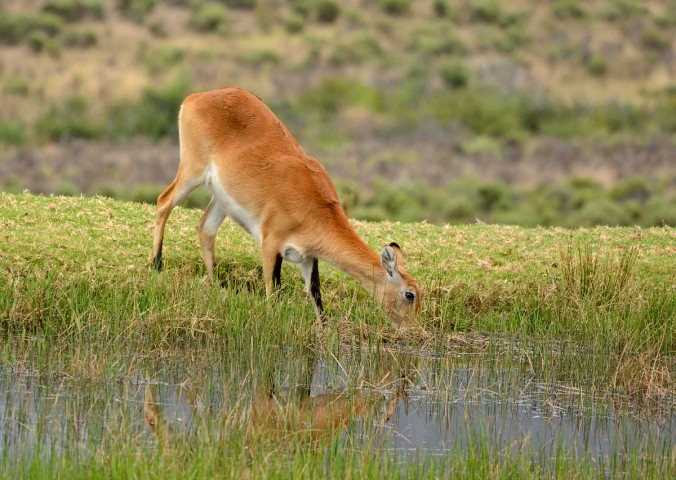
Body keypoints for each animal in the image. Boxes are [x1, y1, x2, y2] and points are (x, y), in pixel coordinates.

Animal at [151, 87, 420, 324]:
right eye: (410, 294)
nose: (410, 327)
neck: (316, 209)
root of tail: (195, 97)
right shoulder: (271, 244)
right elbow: (273, 292)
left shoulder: (308, 258)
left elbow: (316, 297)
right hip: (192, 171)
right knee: (164, 201)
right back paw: (156, 265)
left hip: (221, 198)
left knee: (205, 228)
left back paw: (217, 284)